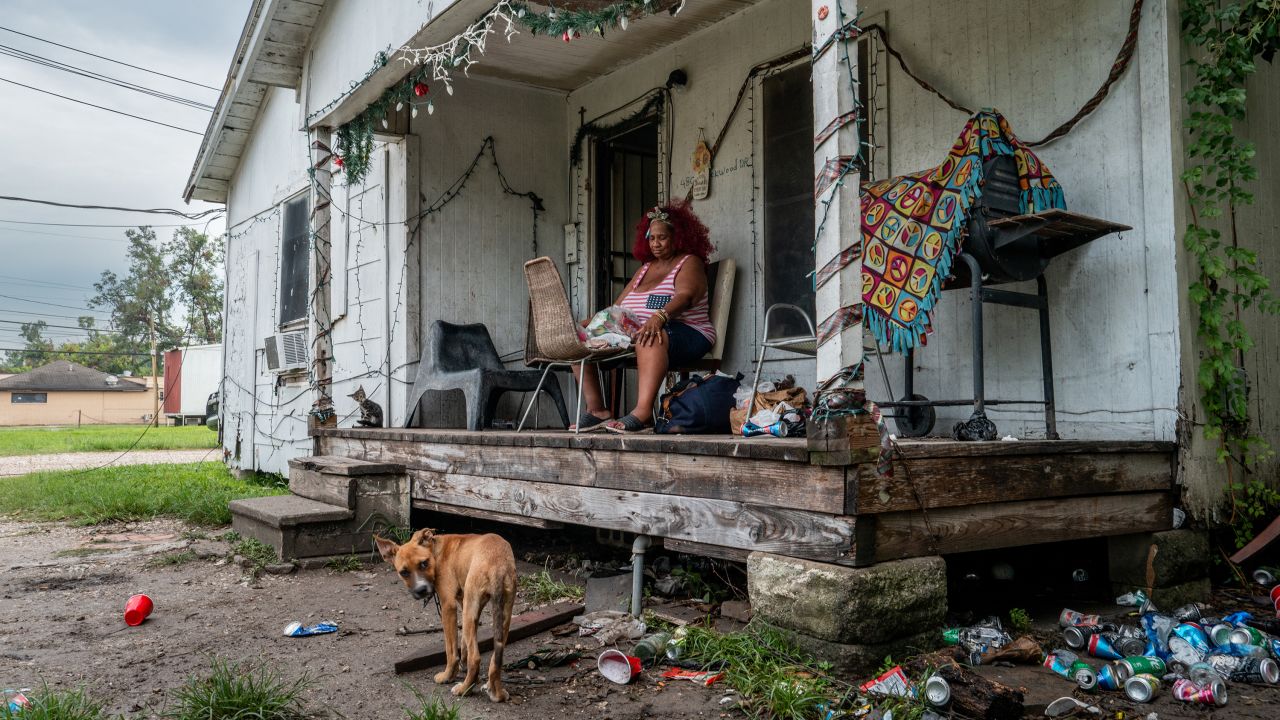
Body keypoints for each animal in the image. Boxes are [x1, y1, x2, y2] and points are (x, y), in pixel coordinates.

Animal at [373, 527, 517, 702]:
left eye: (424, 563)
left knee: (475, 658)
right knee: (496, 658)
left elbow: (451, 650)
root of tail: (498, 564)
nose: (421, 590)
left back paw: (464, 689)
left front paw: (448, 676)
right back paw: (495, 691)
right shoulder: (467, 605)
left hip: (471, 609)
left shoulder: (448, 607)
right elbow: (463, 641)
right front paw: (462, 665)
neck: (435, 550)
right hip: (501, 612)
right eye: (404, 572)